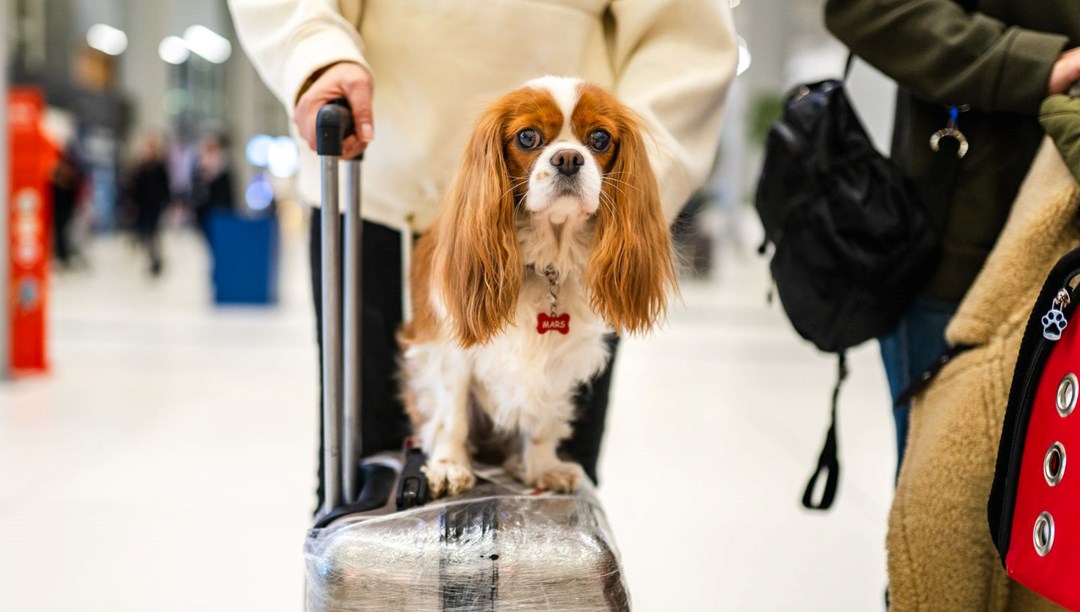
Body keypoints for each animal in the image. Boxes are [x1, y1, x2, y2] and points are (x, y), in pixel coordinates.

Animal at [401, 76, 673, 498]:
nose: (568, 158)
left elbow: (542, 419)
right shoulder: (449, 349)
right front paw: (449, 466)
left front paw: (543, 466)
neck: (548, 261)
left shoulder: (559, 359)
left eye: (599, 139)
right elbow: (452, 415)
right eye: (528, 137)